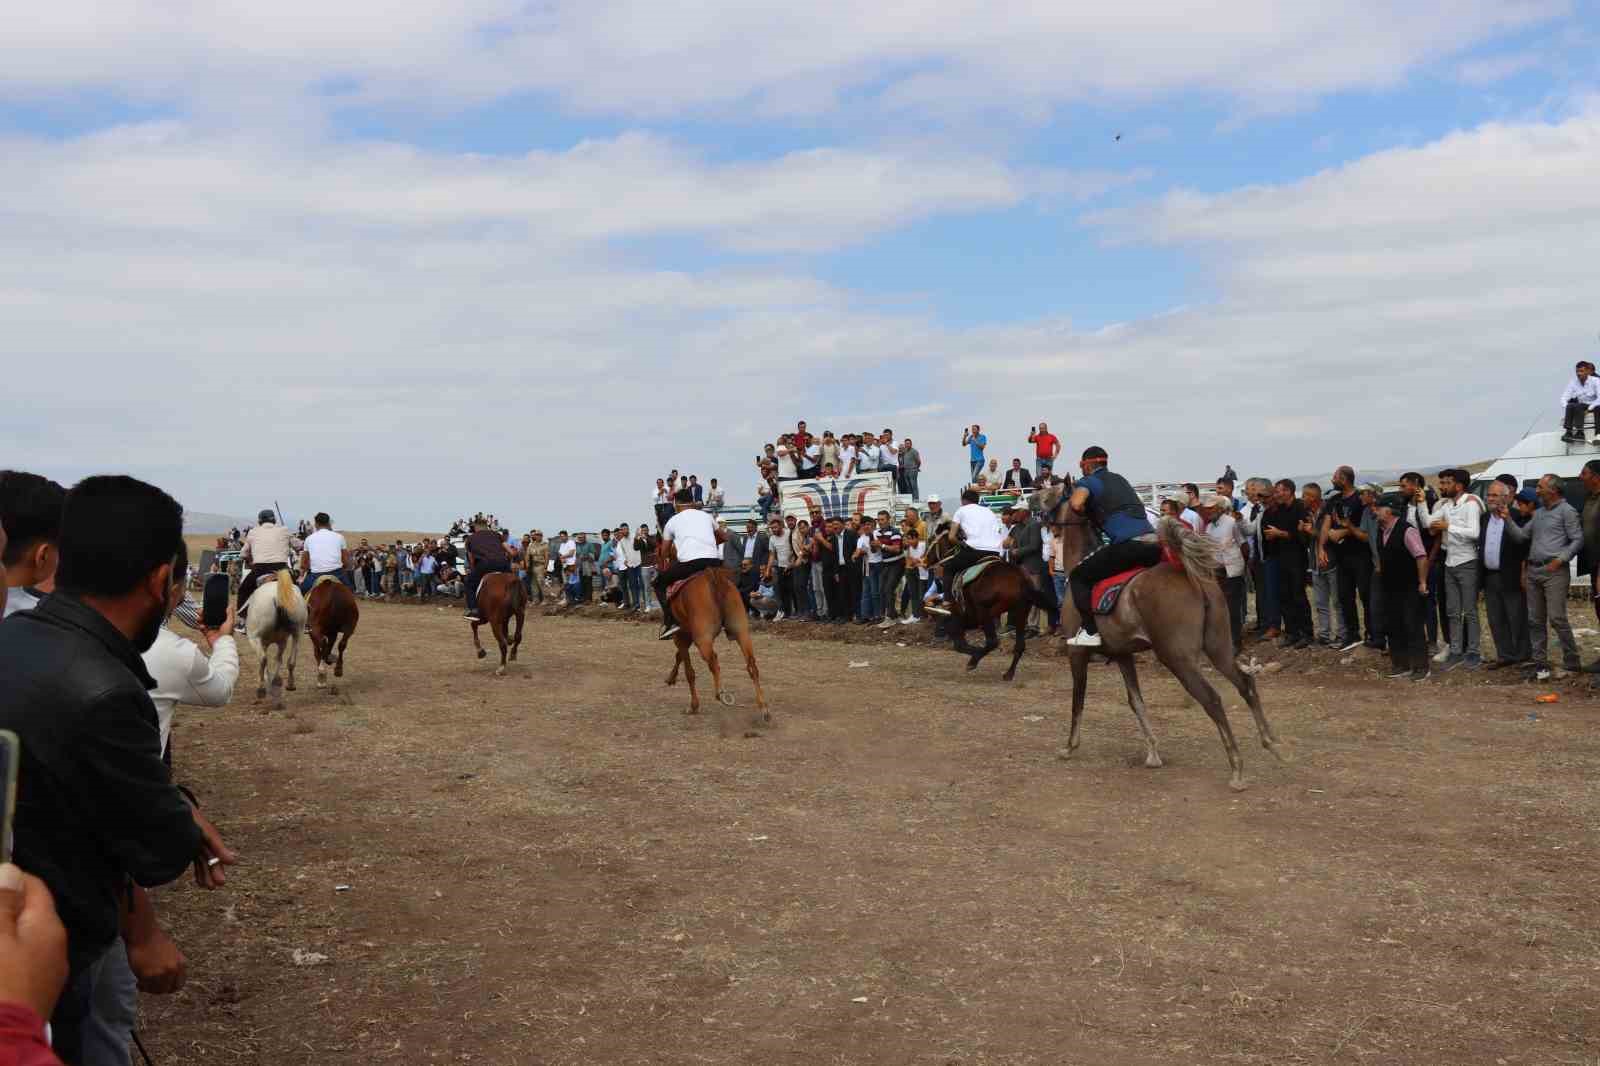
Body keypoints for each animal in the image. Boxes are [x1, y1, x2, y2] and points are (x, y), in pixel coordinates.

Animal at [243, 569, 305, 710]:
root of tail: (276, 597)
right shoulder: (281, 641)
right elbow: (279, 659)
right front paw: (276, 680)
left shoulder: (261, 642)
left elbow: (266, 661)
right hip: (298, 633)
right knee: (291, 661)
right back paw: (289, 684)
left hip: (254, 638)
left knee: (263, 659)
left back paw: (261, 689)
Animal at [659, 563, 764, 729]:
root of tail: (712, 577)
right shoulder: (686, 634)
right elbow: (679, 657)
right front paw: (671, 678)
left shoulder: (681, 636)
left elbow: (689, 671)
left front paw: (693, 706)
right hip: (741, 631)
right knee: (751, 665)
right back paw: (764, 709)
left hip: (703, 640)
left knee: (713, 662)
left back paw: (722, 695)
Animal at [921, 524, 1056, 681]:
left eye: (932, 539)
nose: (923, 561)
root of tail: (1020, 579)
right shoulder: (966, 619)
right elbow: (959, 643)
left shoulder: (960, 618)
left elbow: (960, 644)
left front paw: (973, 656)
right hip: (1020, 611)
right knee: (1019, 645)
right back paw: (1008, 673)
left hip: (985, 612)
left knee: (993, 641)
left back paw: (975, 660)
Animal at [1036, 476, 1286, 784]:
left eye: (1052, 493)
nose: (1032, 503)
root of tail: (1192, 577)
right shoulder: (1123, 655)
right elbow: (1135, 701)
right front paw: (1153, 752)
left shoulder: (1076, 654)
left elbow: (1078, 699)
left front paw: (1070, 746)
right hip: (1219, 648)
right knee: (1245, 684)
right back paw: (1271, 743)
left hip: (1176, 657)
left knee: (1212, 699)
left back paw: (1237, 768)